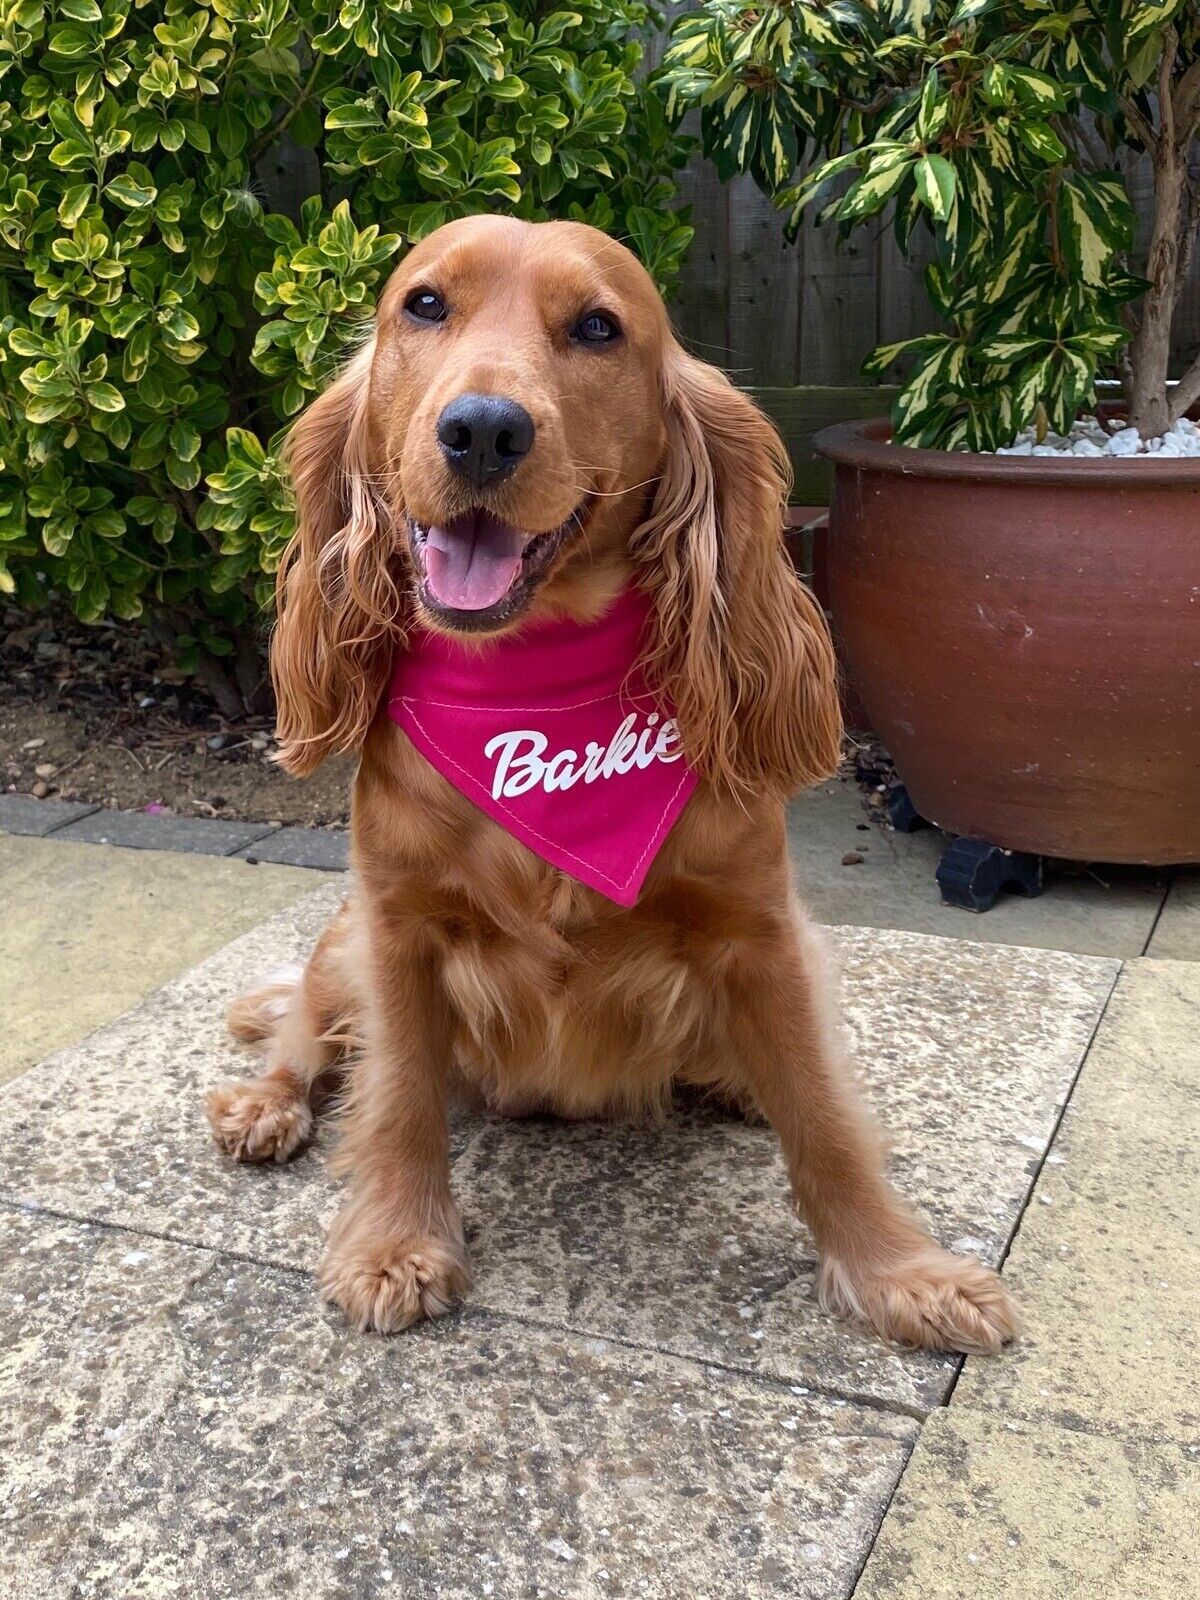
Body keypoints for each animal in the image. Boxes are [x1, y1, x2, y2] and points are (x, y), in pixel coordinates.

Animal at [204, 216, 1017, 1350]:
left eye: (597, 327)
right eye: (423, 305)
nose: (483, 430)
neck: (534, 694)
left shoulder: (763, 930)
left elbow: (822, 1115)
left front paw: (898, 1270)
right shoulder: (395, 926)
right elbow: (399, 1092)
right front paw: (396, 1243)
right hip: (337, 939)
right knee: (305, 1036)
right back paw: (266, 1104)